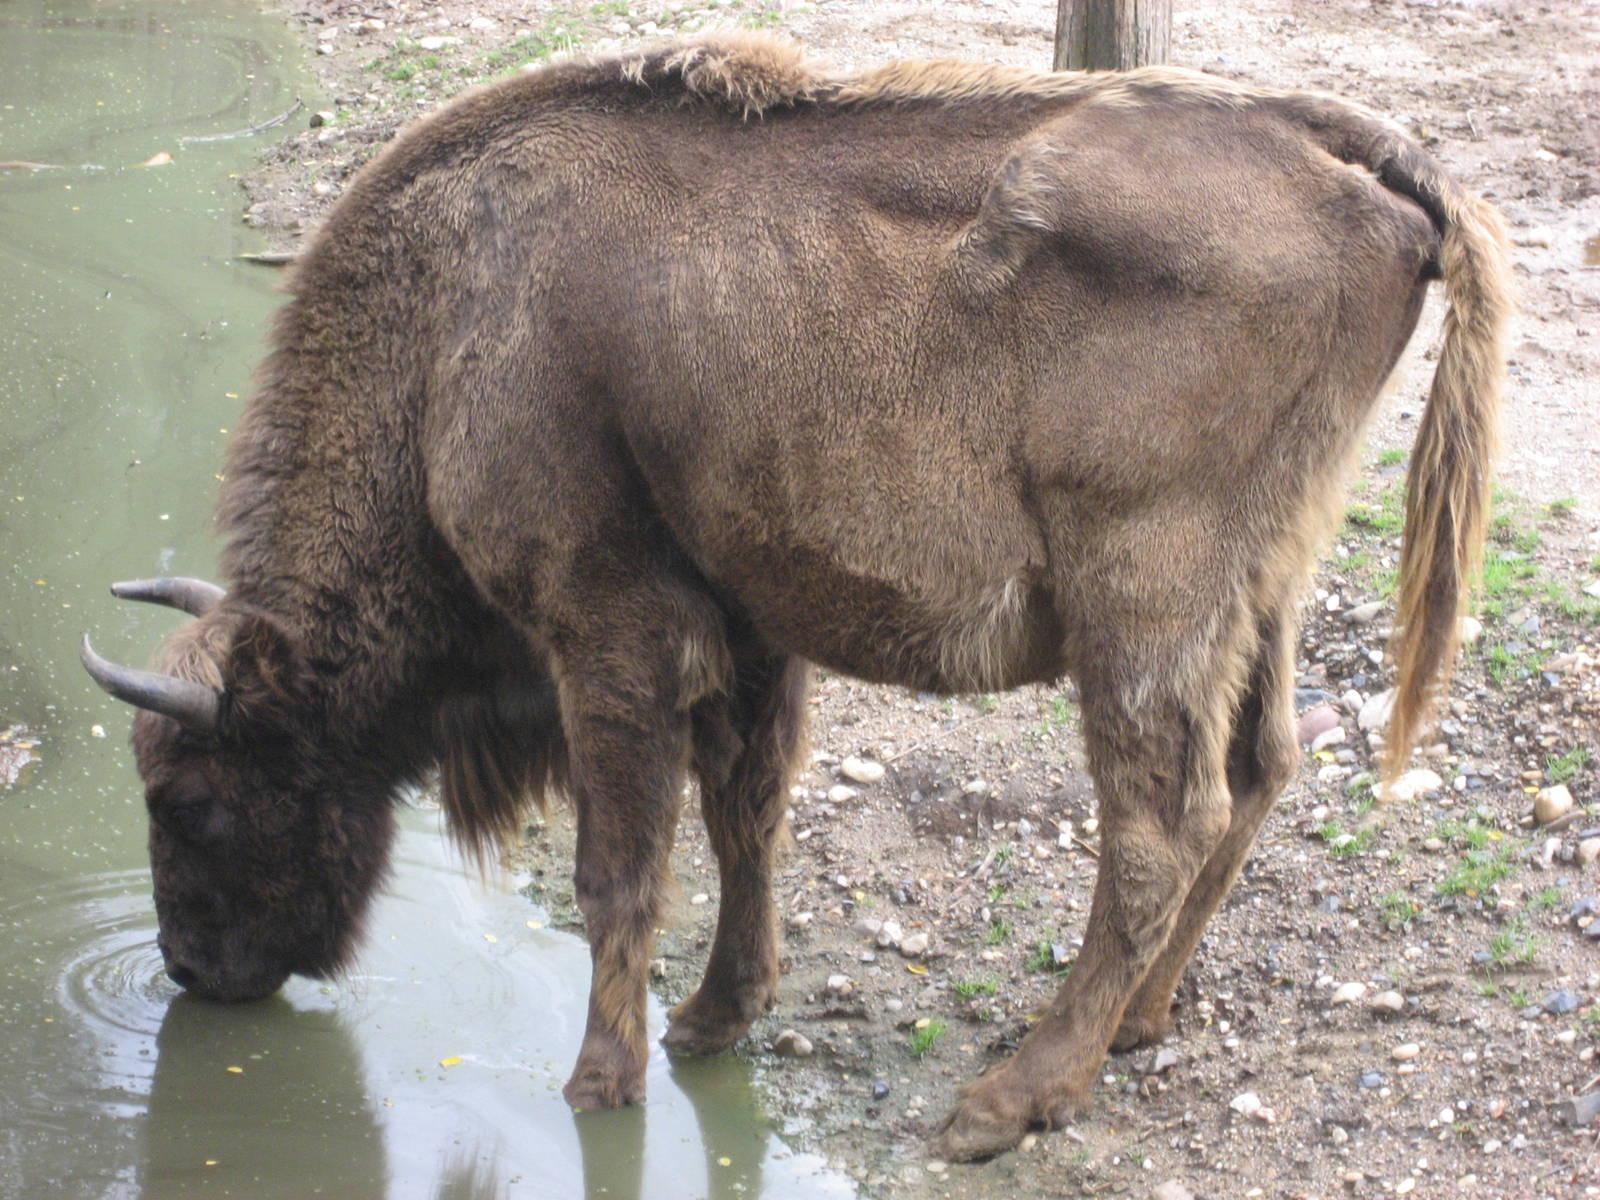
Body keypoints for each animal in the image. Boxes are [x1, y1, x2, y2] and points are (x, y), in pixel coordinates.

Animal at [84, 34, 1509, 1160]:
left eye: (190, 800)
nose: (193, 972)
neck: (454, 319)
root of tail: (1361, 154)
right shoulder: (752, 626)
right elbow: (745, 816)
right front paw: (715, 1019)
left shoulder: (604, 636)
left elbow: (622, 866)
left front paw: (599, 1083)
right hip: (1266, 585)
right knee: (1259, 771)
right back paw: (1136, 1025)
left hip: (1142, 606)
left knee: (1160, 826)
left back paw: (1006, 1101)